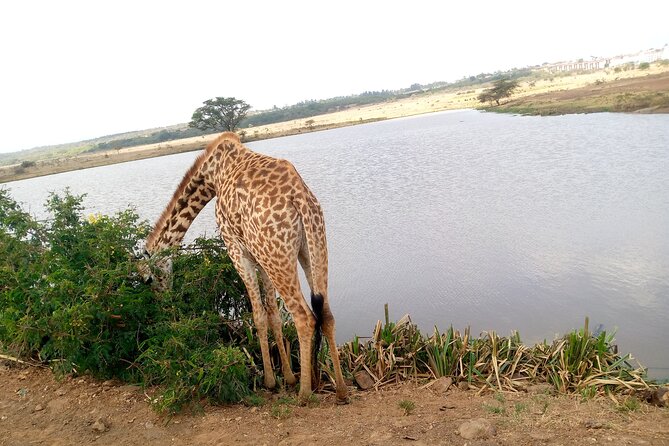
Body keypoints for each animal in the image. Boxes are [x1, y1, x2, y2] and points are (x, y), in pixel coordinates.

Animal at [141, 132, 348, 404]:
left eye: (148, 280)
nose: (163, 305)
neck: (212, 174)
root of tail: (300, 199)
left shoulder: (236, 250)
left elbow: (258, 315)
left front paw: (271, 381)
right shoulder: (259, 257)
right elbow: (273, 314)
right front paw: (288, 377)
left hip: (278, 256)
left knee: (303, 316)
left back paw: (304, 393)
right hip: (311, 246)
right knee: (325, 312)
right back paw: (337, 389)